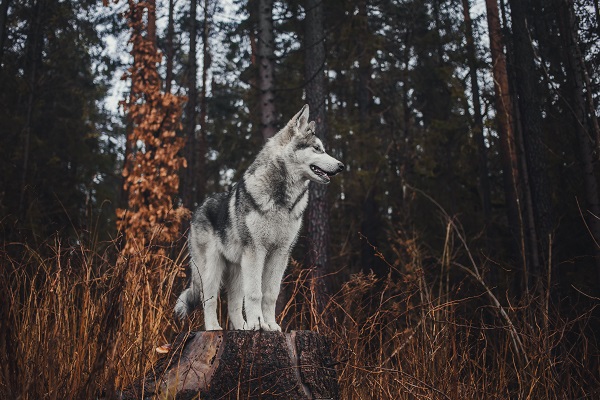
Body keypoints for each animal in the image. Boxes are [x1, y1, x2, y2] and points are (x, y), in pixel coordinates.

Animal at [175, 104, 342, 332]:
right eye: (317, 148)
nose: (341, 165)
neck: (282, 201)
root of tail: (199, 208)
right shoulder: (256, 251)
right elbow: (255, 293)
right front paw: (257, 323)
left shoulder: (280, 253)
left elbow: (270, 294)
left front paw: (269, 325)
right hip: (213, 269)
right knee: (209, 300)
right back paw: (214, 328)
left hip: (238, 270)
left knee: (234, 304)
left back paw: (242, 328)